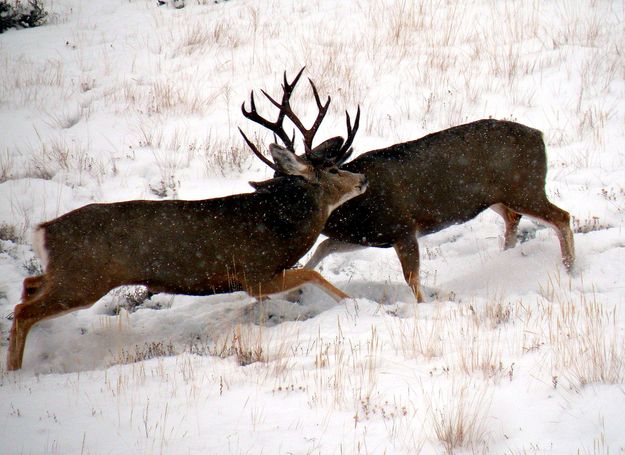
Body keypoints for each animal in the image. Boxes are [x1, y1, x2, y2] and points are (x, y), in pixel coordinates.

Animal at [6, 70, 366, 370]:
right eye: (334, 169)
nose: (362, 179)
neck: (282, 228)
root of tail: (44, 231)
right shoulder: (256, 273)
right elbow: (312, 274)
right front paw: (354, 305)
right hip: (84, 278)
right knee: (25, 311)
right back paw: (15, 371)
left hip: (68, 276)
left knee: (30, 284)